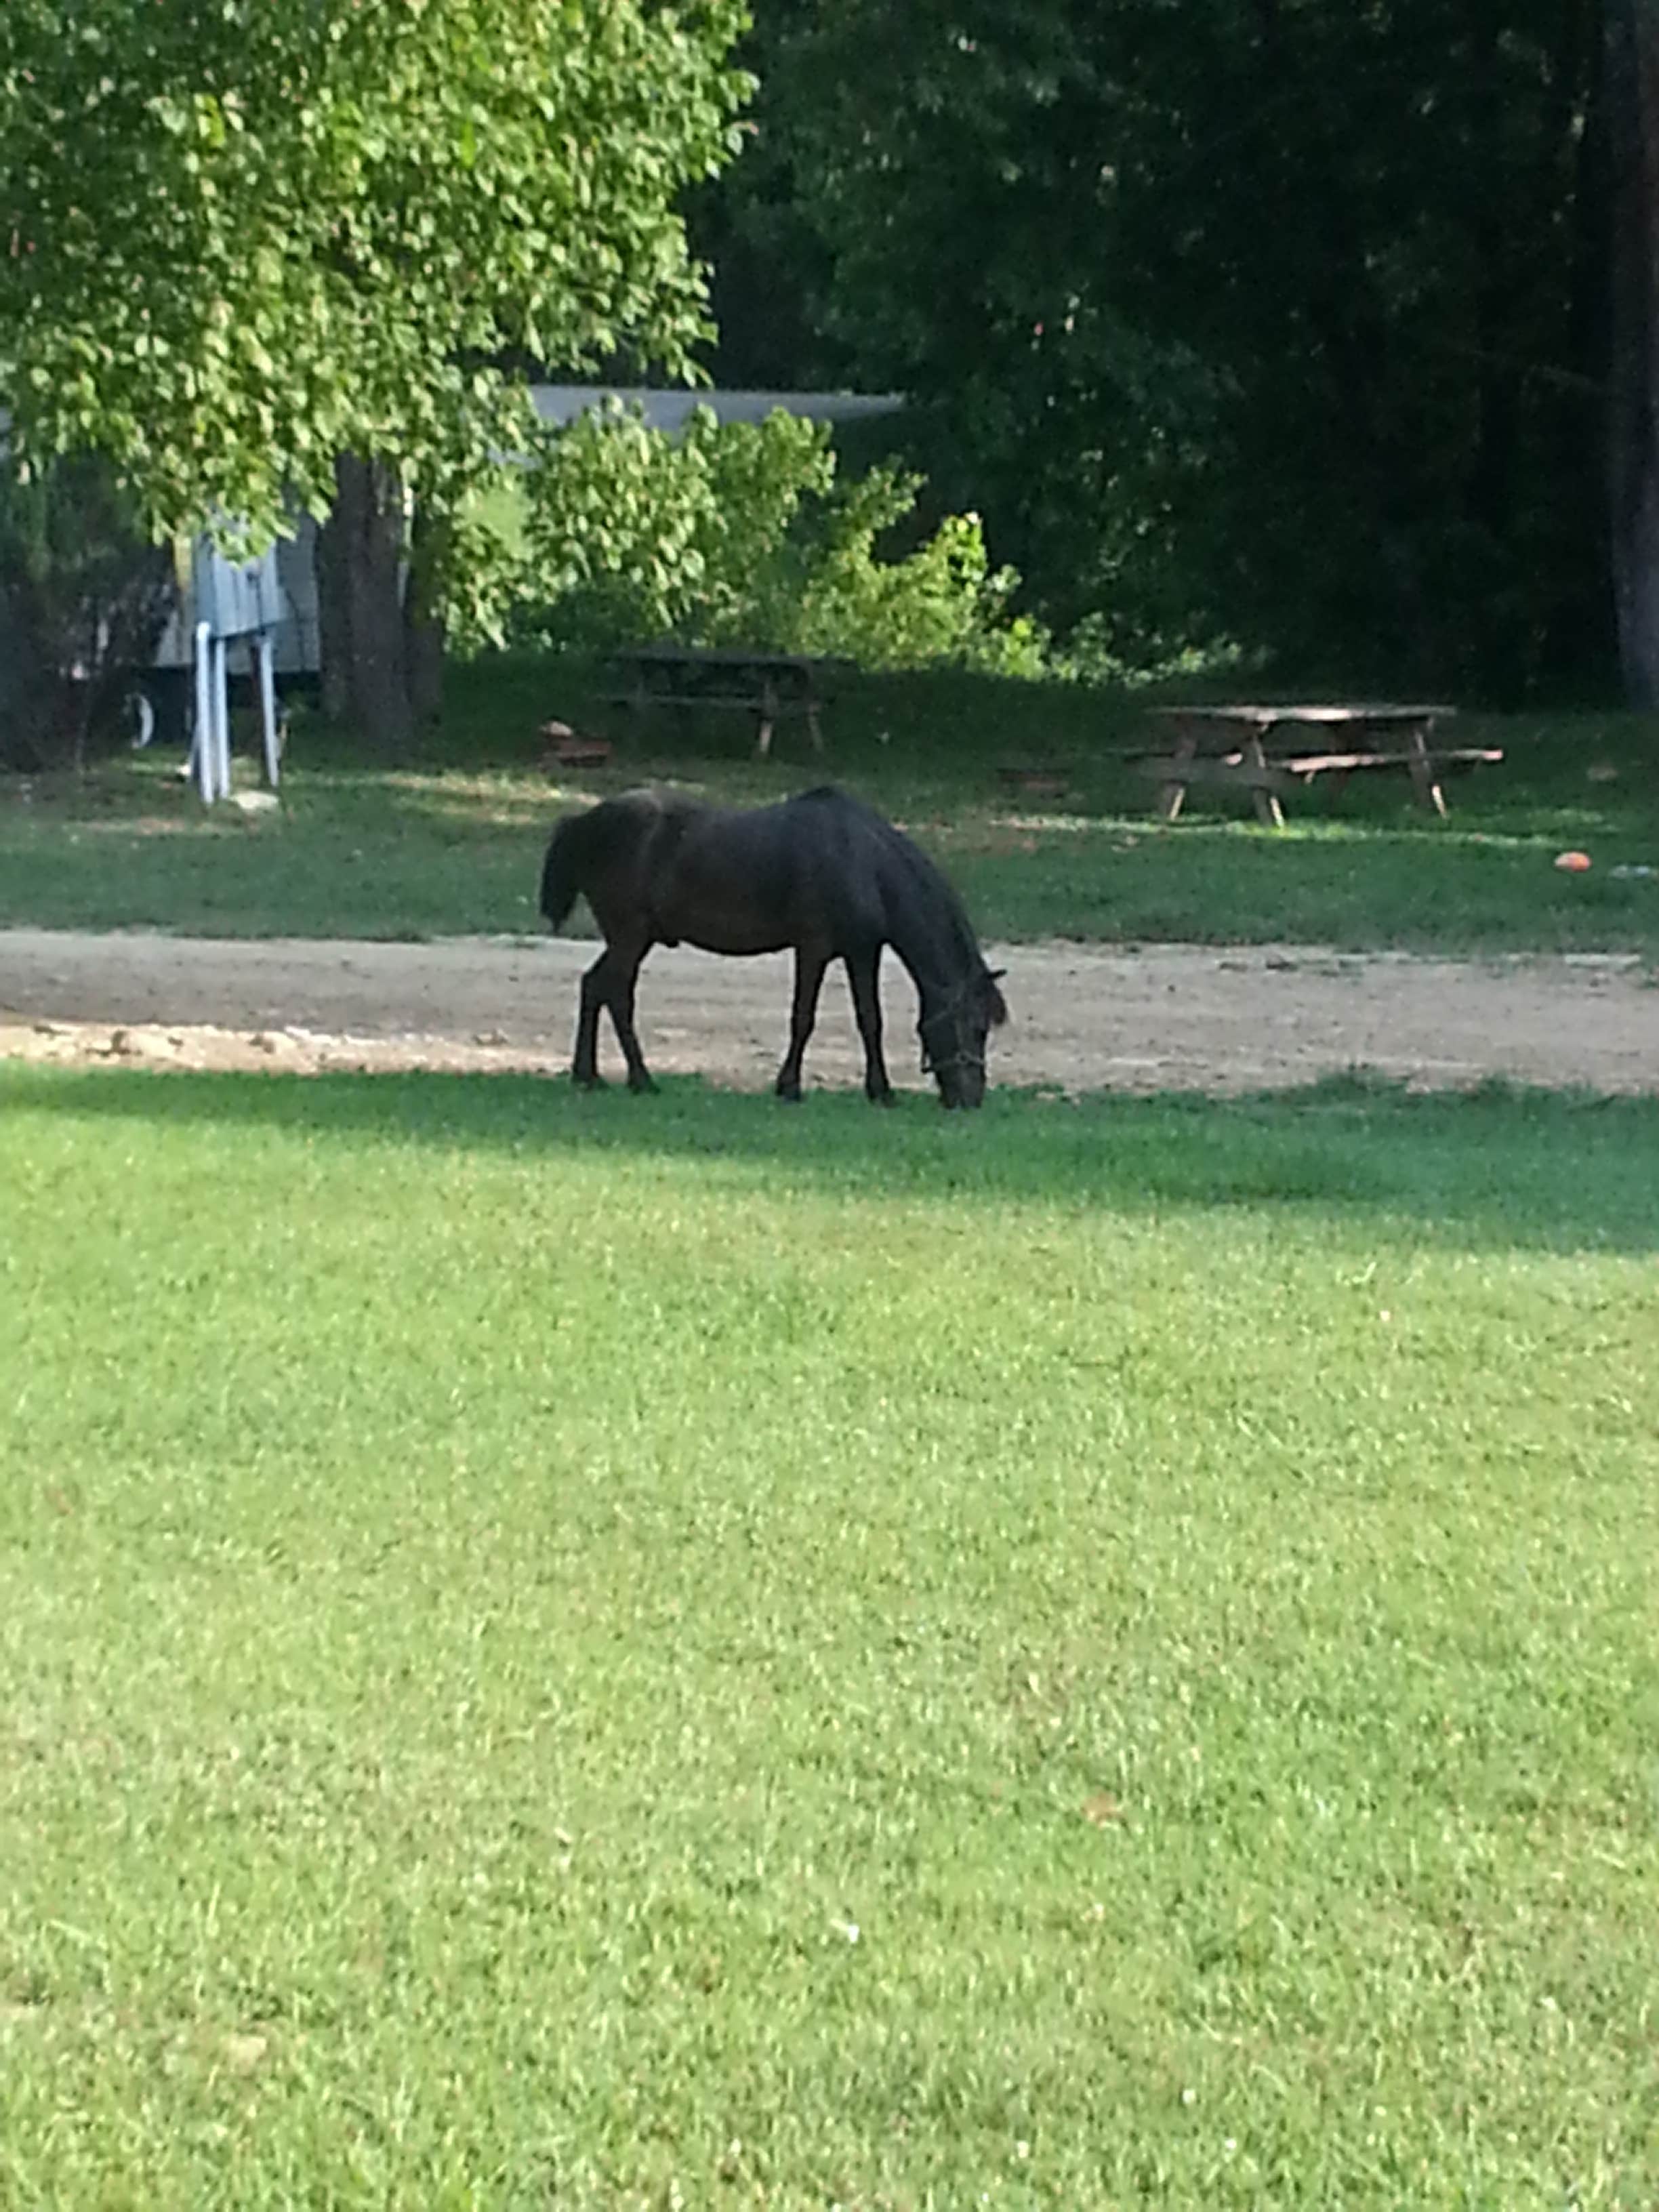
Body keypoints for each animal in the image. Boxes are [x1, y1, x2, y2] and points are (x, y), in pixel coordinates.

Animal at [538, 786, 1008, 1107]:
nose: (970, 1099)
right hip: (630, 938)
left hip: (633, 939)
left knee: (594, 986)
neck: (861, 860)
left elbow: (870, 1020)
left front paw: (881, 1092)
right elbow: (803, 1019)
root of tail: (584, 822)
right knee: (617, 996)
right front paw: (790, 1087)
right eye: (976, 1027)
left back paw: (588, 1076)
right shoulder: (813, 949)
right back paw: (641, 1079)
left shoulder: (862, 952)